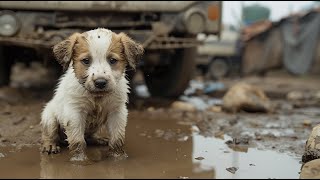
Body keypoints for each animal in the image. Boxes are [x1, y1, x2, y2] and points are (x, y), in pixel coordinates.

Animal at [40, 27, 144, 160]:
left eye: (112, 60)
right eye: (86, 61)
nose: (100, 82)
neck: (97, 96)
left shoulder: (117, 111)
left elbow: (117, 138)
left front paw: (118, 156)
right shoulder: (75, 113)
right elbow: (77, 140)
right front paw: (79, 159)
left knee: (89, 136)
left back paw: (99, 139)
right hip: (49, 117)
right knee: (49, 134)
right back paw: (50, 145)